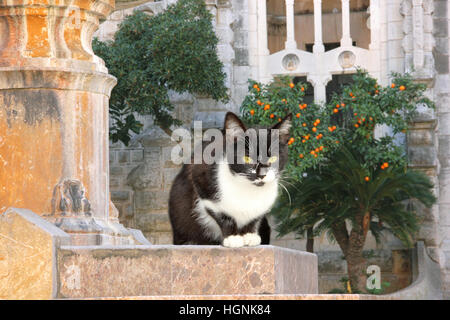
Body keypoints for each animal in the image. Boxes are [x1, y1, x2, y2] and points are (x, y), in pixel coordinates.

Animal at [169, 112, 292, 248]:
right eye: (247, 158)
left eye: (273, 158)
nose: (262, 175)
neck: (247, 189)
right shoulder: (201, 180)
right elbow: (221, 213)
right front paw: (232, 237)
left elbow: (255, 217)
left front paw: (249, 235)